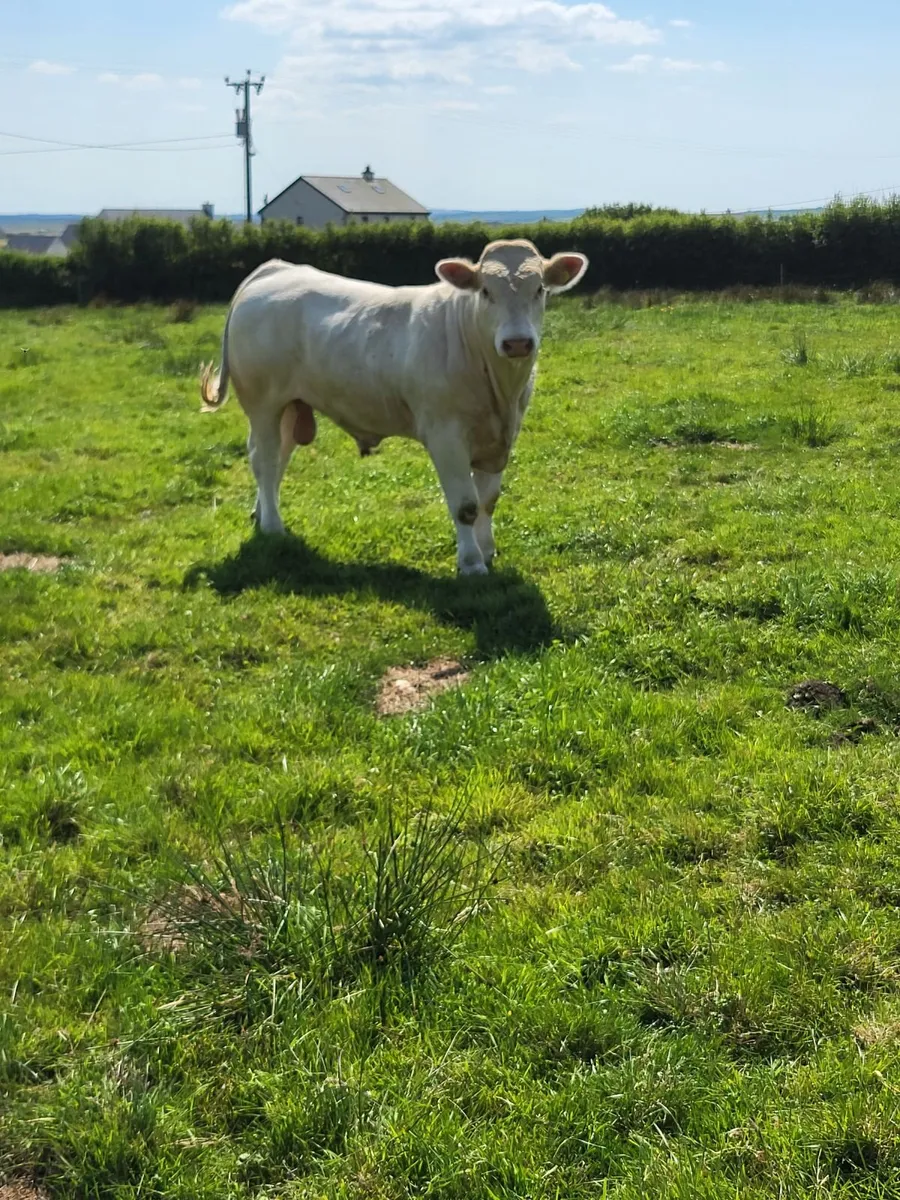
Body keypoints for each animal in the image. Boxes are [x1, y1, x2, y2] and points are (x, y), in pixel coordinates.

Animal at [199, 239, 588, 575]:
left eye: (539, 290)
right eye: (486, 292)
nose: (517, 342)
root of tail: (274, 270)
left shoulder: (501, 437)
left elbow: (488, 501)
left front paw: (487, 550)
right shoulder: (446, 436)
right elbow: (466, 506)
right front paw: (472, 563)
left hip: (293, 405)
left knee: (277, 457)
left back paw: (261, 513)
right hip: (263, 402)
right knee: (263, 460)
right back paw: (272, 526)